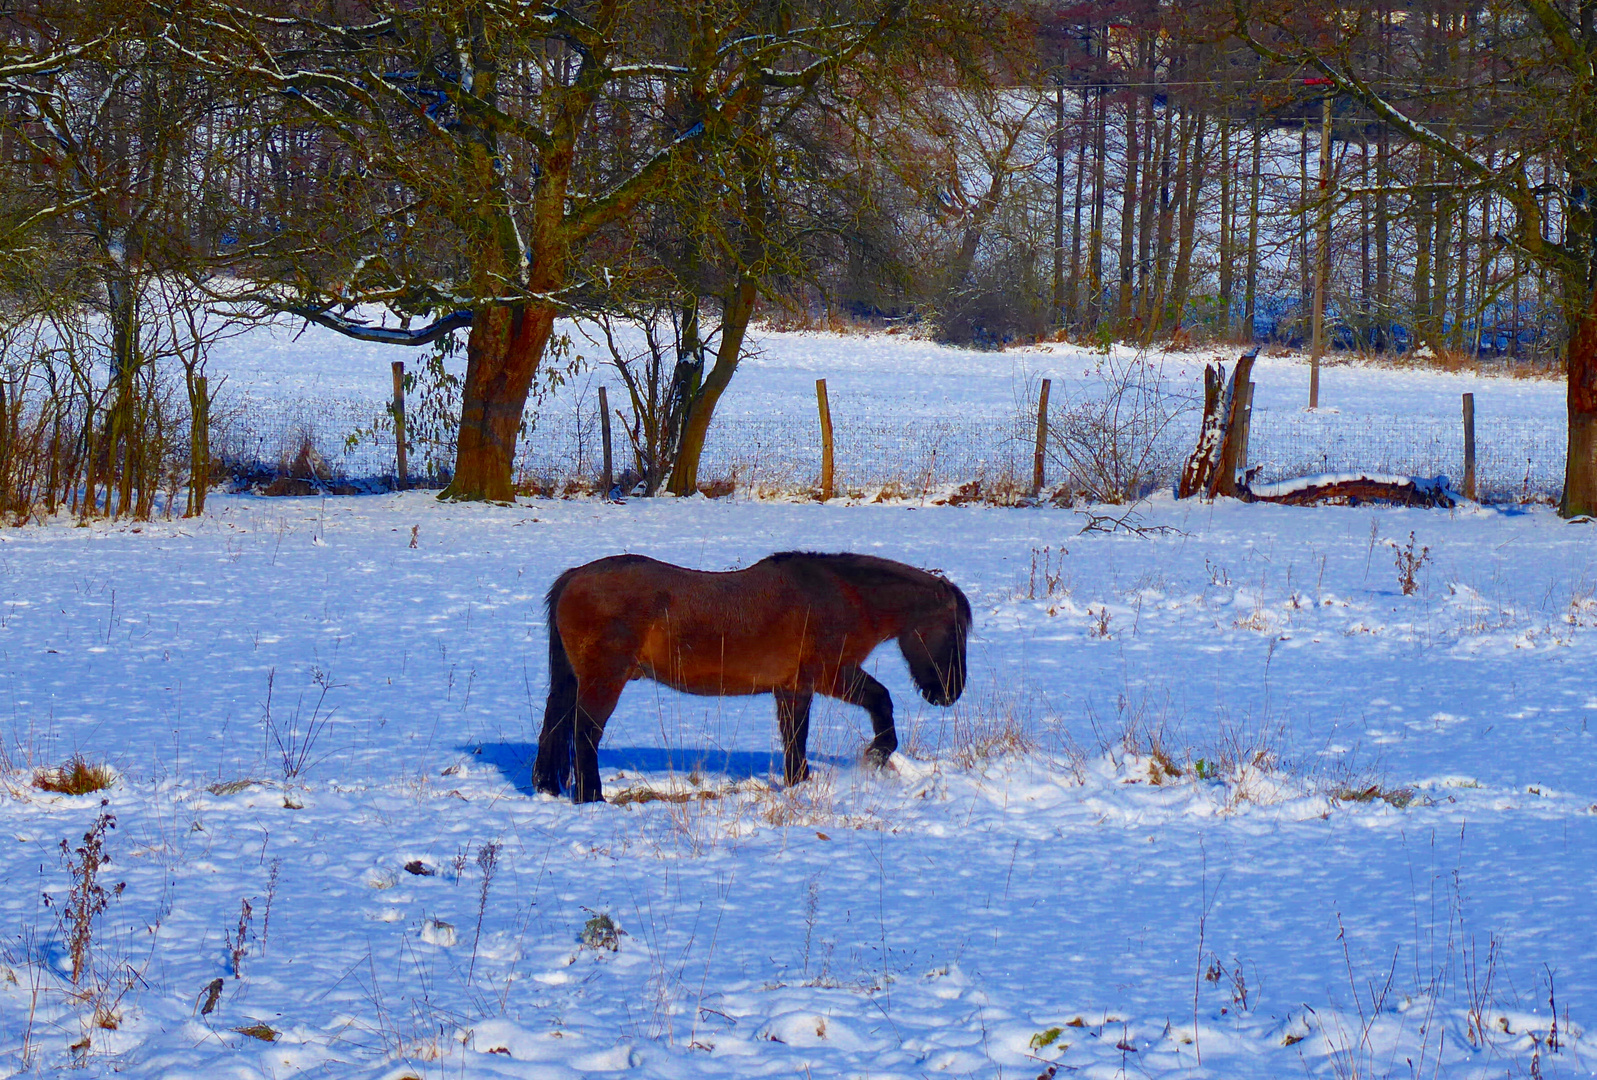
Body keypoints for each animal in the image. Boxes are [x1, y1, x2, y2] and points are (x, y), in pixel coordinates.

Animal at [533, 555, 970, 802]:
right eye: (954, 631)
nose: (950, 693)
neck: (842, 596)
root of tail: (574, 577)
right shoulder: (832, 676)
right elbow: (881, 700)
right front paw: (877, 755)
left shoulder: (794, 689)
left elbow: (795, 739)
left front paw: (799, 783)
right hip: (604, 681)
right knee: (584, 733)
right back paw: (591, 796)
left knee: (557, 726)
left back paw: (549, 786)